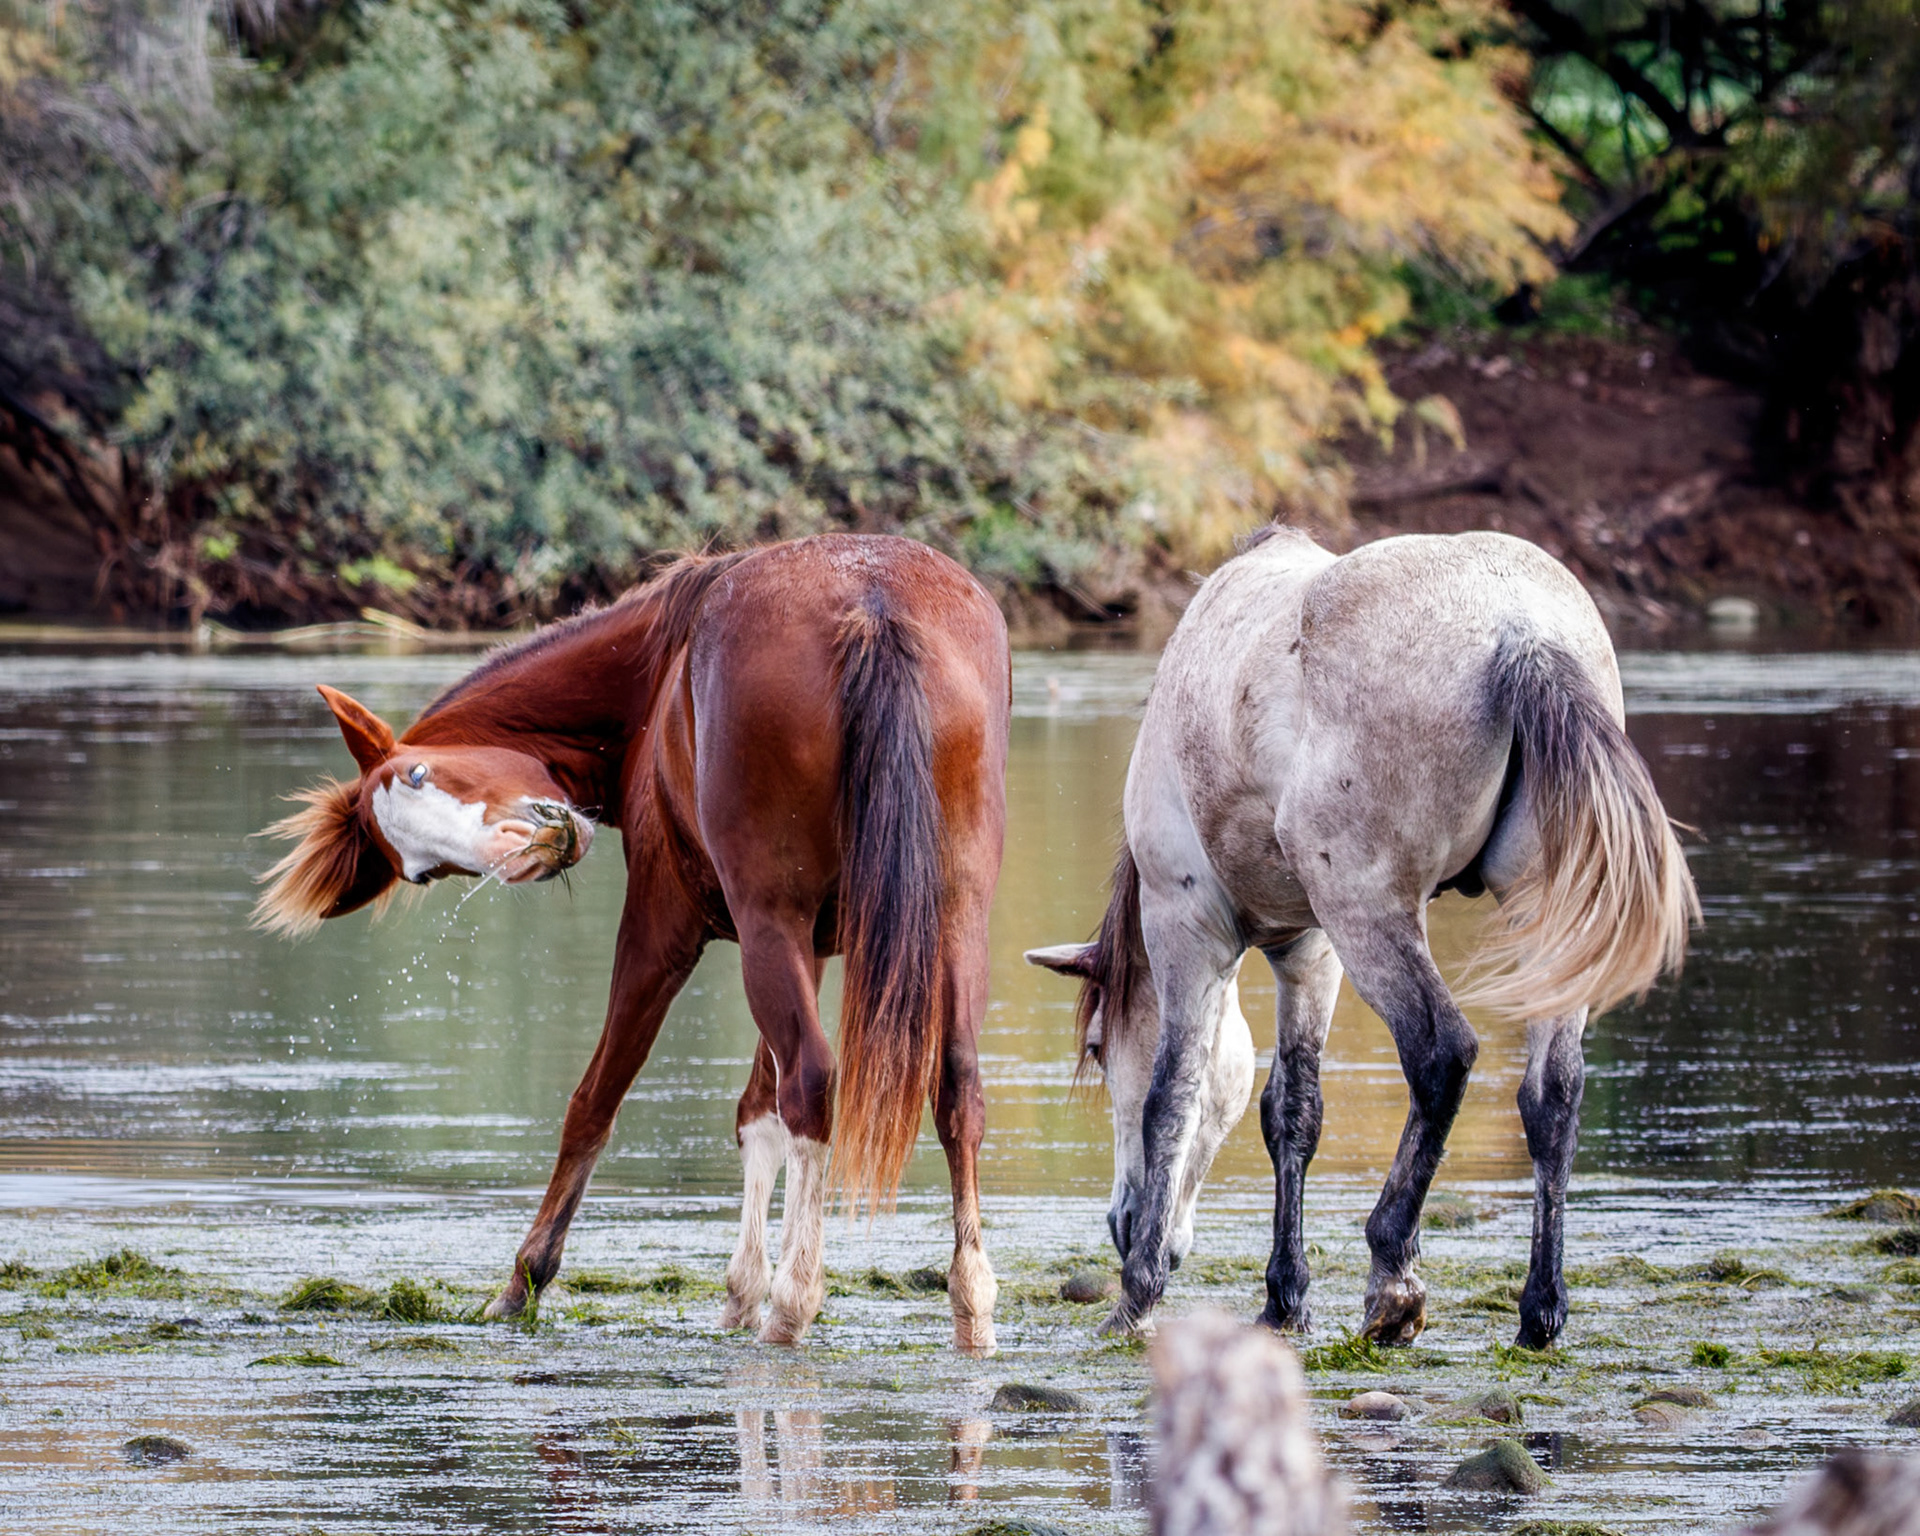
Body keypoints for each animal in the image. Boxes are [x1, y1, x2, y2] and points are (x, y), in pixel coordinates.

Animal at [254, 534, 1011, 1352]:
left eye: (421, 772)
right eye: (421, 872)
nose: (529, 851)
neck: (654, 678)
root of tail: (871, 600)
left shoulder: (664, 923)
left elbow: (596, 1101)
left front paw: (524, 1281)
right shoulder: (804, 942)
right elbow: (757, 1112)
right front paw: (741, 1289)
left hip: (769, 922)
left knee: (812, 1080)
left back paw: (795, 1301)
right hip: (950, 918)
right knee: (954, 1086)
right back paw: (968, 1301)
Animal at [1027, 526, 1697, 1348]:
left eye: (1097, 1048)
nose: (1122, 1222)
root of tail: (1523, 630)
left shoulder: (1186, 922)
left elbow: (1171, 1098)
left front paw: (1138, 1290)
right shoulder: (1308, 950)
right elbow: (1292, 1112)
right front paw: (1284, 1298)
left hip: (1369, 911)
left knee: (1442, 1053)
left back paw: (1393, 1273)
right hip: (1540, 914)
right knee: (1553, 1093)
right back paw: (1540, 1309)